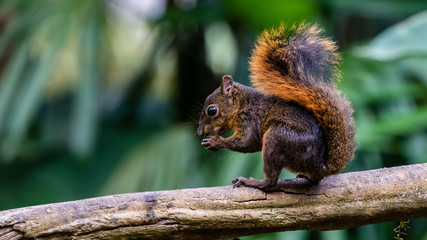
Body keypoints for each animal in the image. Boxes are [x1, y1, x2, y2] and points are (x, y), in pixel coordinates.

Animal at [198, 23, 358, 191]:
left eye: (212, 111)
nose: (200, 131)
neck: (242, 103)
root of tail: (320, 165)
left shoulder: (248, 118)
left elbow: (249, 141)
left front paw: (215, 141)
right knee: (315, 178)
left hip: (277, 139)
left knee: (271, 181)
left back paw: (252, 182)